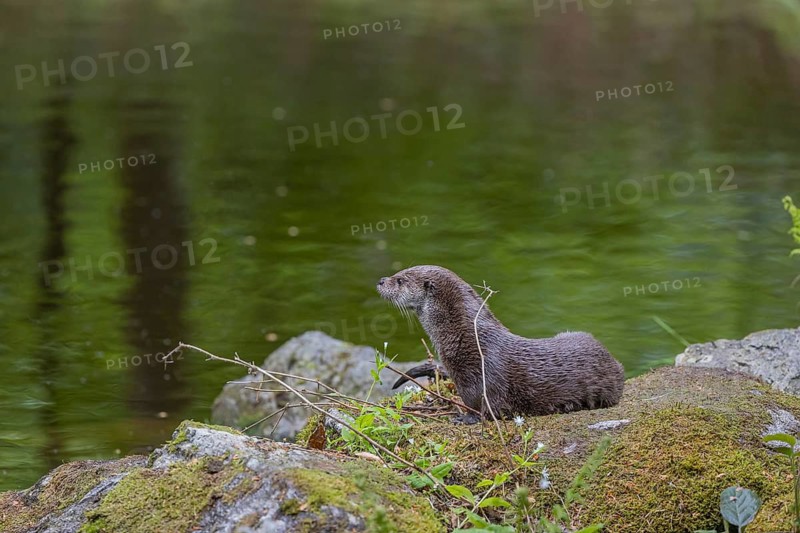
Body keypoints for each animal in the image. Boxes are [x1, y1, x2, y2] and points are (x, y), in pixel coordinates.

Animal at [377, 265, 624, 424]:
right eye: (397, 274)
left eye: (400, 280)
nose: (381, 280)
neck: (468, 337)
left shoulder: (484, 374)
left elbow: (486, 405)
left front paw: (465, 418)